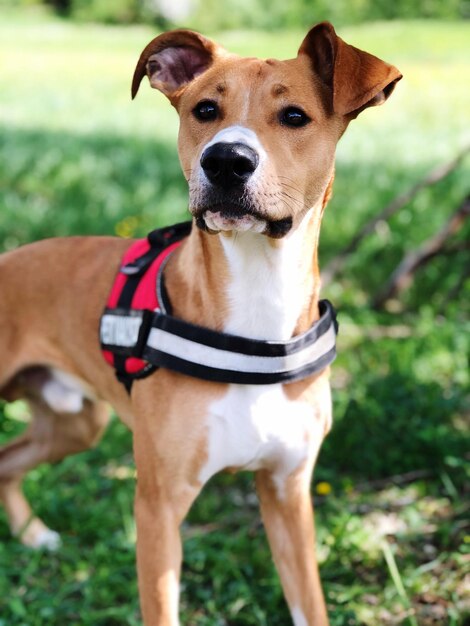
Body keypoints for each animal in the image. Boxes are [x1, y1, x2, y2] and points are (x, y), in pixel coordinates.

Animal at [0, 23, 400, 624]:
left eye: (295, 116)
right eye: (205, 110)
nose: (226, 160)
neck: (258, 313)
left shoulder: (288, 493)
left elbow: (309, 603)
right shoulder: (158, 507)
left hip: (74, 423)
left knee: (6, 462)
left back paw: (33, 534)